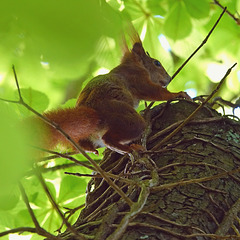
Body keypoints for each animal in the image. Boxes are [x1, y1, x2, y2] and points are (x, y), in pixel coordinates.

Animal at [34, 32, 190, 155]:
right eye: (157, 63)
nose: (169, 78)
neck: (132, 64)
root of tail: (94, 112)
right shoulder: (137, 78)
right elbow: (154, 92)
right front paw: (177, 94)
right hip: (124, 115)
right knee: (109, 139)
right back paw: (129, 149)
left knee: (82, 143)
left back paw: (89, 148)